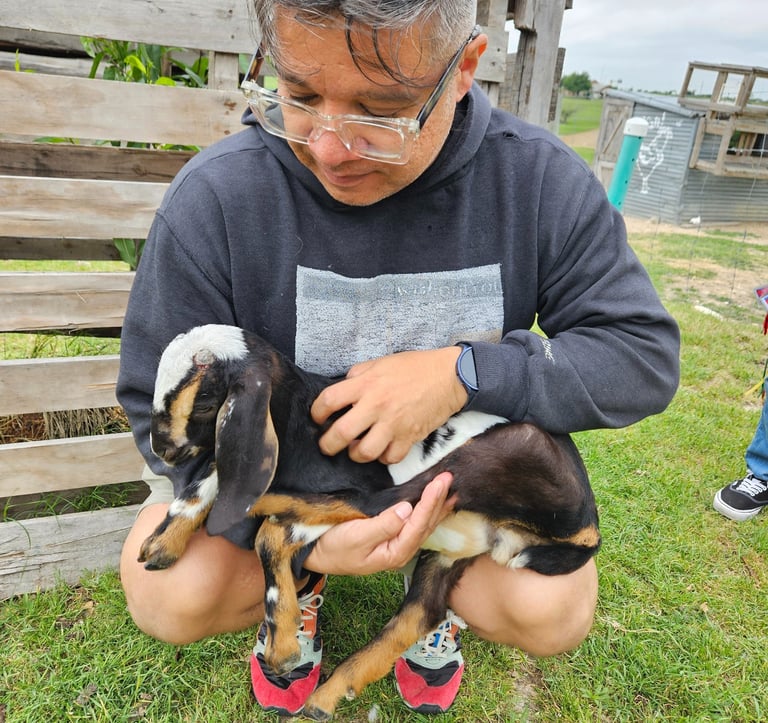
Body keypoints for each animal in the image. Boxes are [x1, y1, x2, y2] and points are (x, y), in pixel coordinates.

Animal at [140, 323, 600, 720]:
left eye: (204, 404)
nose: (161, 449)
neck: (302, 425)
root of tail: (587, 529)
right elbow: (217, 471)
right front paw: (161, 544)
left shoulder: (348, 486)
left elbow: (270, 529)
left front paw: (283, 647)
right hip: (448, 551)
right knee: (419, 615)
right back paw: (325, 697)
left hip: (481, 463)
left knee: (359, 506)